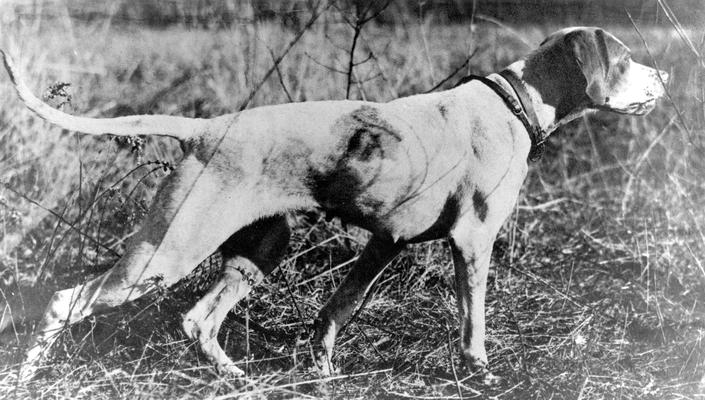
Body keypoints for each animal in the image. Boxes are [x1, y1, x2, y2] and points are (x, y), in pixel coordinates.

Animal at [0, 26, 664, 382]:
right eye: (626, 60)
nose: (665, 80)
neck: (514, 101)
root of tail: (207, 128)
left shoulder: (385, 242)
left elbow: (337, 308)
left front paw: (321, 371)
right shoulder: (473, 242)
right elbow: (473, 319)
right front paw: (480, 369)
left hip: (259, 249)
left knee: (198, 320)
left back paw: (235, 378)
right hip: (168, 253)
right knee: (66, 301)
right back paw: (29, 375)